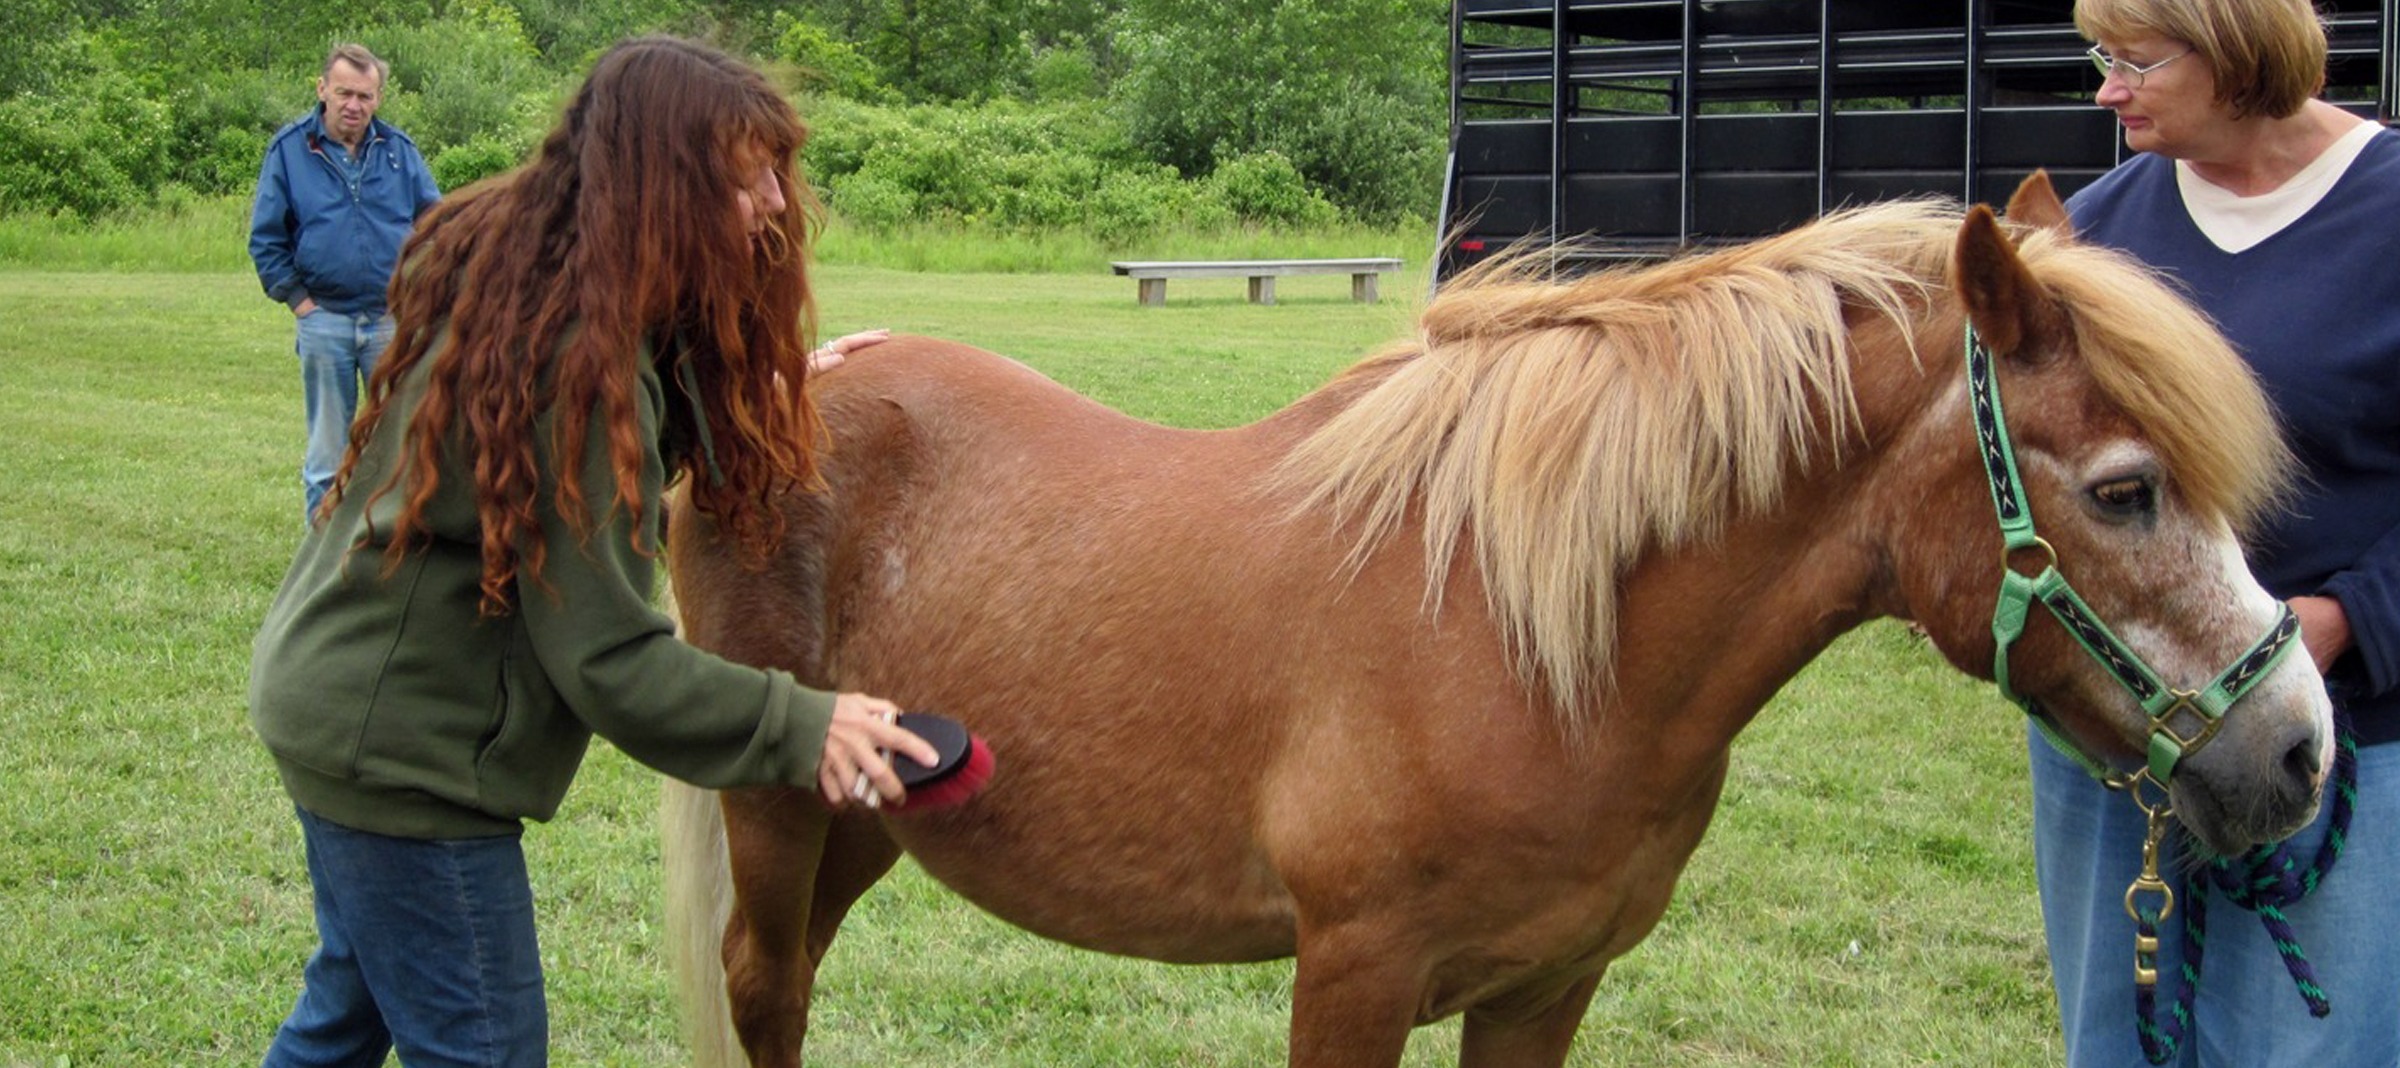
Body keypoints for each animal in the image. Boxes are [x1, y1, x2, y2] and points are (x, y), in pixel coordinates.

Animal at [659, 174, 2332, 1068]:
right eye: (2126, 492)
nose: (2301, 751)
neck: (1529, 644)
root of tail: (806, 376)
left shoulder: (1544, 988)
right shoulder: (1353, 976)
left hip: (866, 822)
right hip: (777, 822)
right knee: (764, 995)